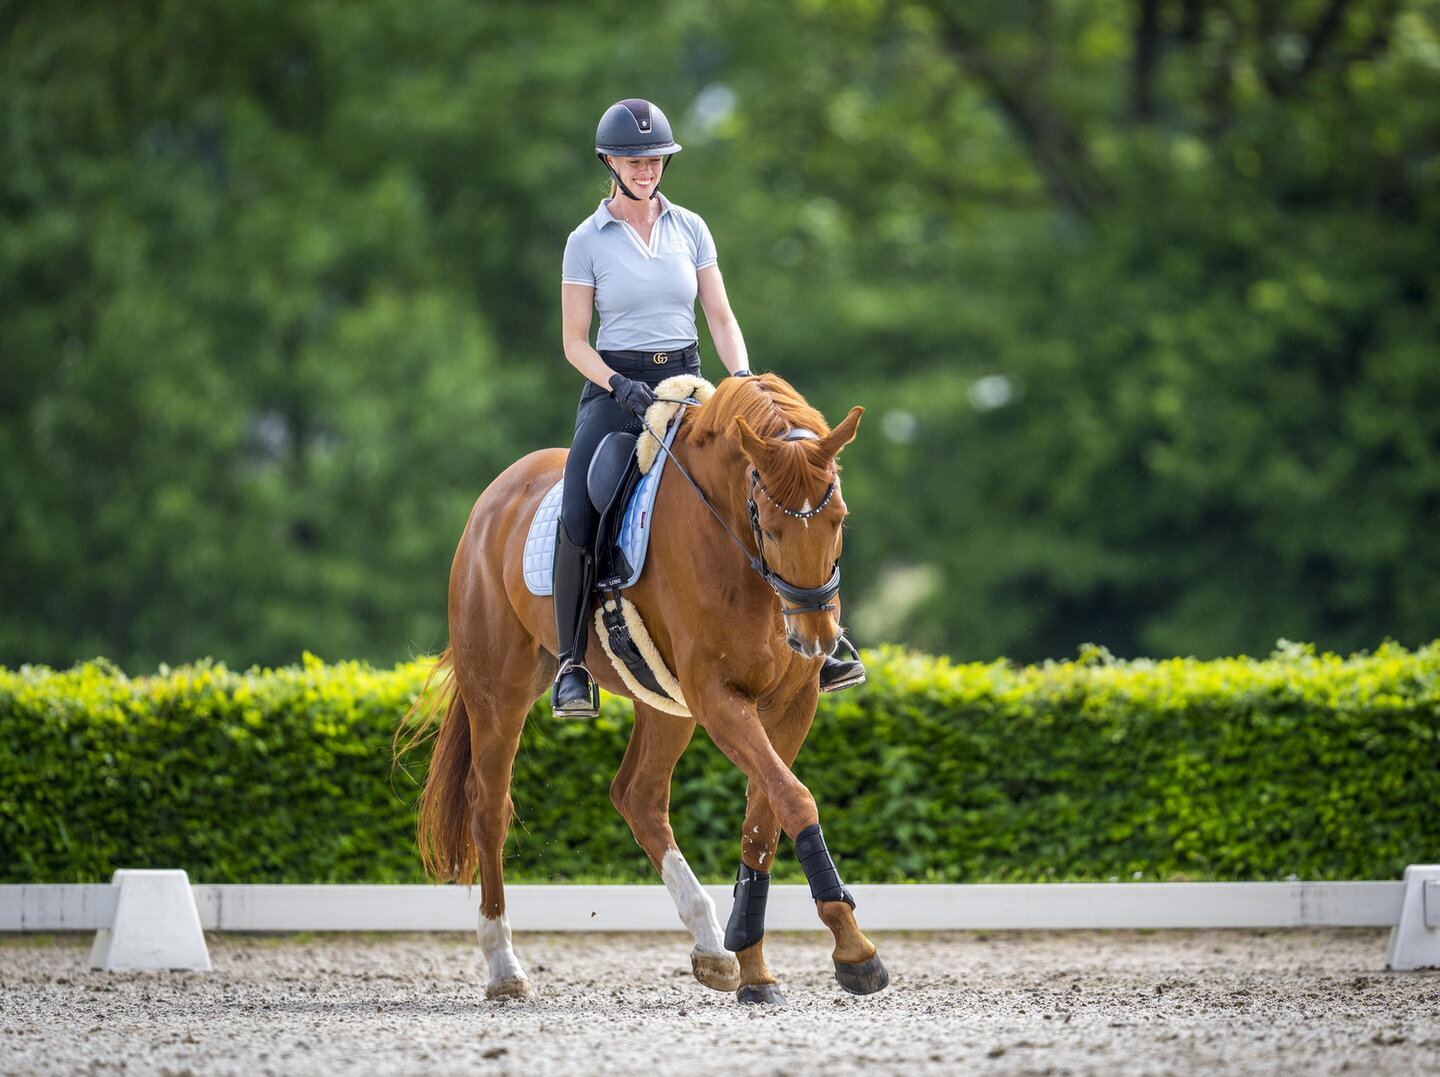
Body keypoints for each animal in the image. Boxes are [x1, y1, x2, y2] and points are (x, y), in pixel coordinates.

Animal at [402, 372, 886, 1005]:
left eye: (840, 520)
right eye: (769, 524)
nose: (816, 640)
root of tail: (494, 497)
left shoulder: (789, 703)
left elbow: (766, 815)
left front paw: (754, 964)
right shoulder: (718, 698)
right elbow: (795, 799)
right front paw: (853, 951)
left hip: (665, 705)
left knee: (639, 796)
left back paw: (711, 947)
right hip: (499, 692)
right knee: (490, 807)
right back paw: (504, 967)